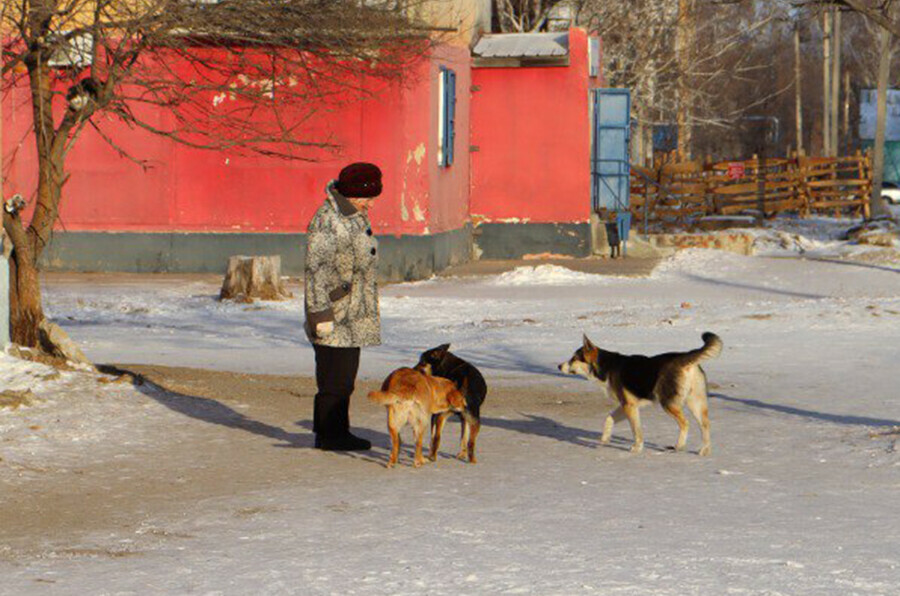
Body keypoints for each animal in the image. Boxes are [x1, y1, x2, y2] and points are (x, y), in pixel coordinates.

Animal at [560, 330, 720, 456]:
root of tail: (685, 358)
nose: (559, 366)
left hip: (668, 404)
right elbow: (609, 419)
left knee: (685, 423)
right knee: (705, 425)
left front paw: (637, 448)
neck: (605, 366)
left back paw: (679, 446)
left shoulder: (629, 407)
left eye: (573, 359)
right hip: (695, 403)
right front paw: (604, 438)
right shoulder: (626, 405)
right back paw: (704, 450)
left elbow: (636, 431)